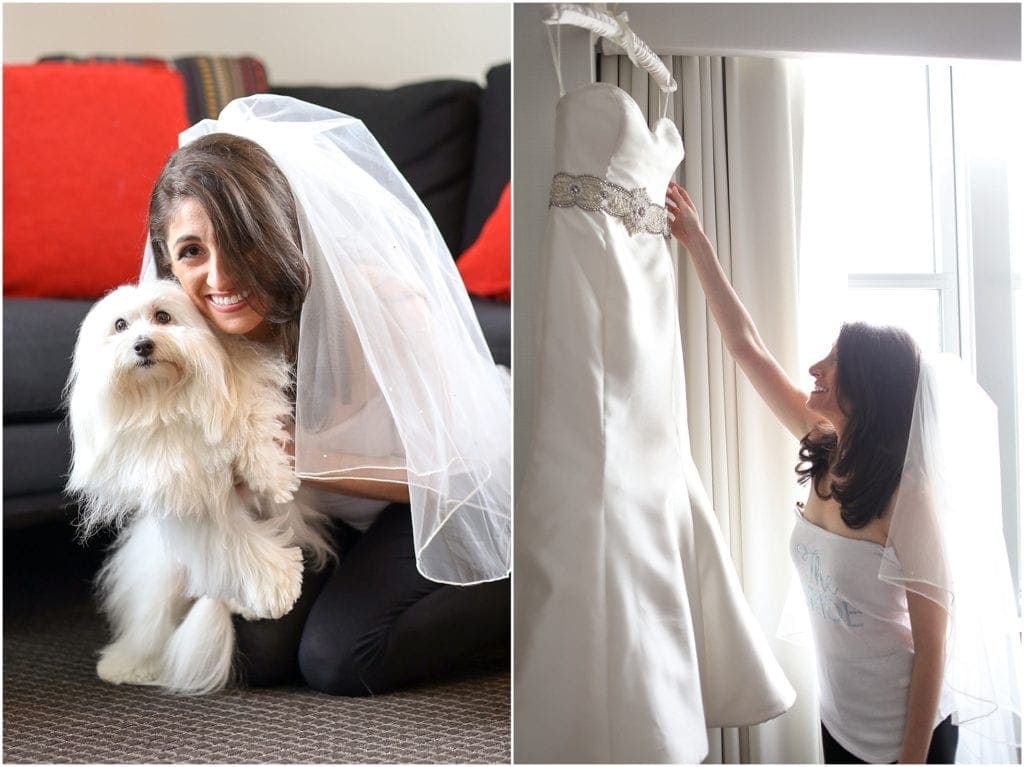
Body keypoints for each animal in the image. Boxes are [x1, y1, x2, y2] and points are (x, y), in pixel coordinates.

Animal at [66, 280, 329, 692]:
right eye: (120, 325)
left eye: (163, 316)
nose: (143, 345)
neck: (165, 397)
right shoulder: (187, 496)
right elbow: (236, 542)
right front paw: (277, 587)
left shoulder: (244, 386)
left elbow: (249, 419)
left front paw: (272, 476)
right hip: (161, 577)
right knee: (154, 621)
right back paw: (130, 664)